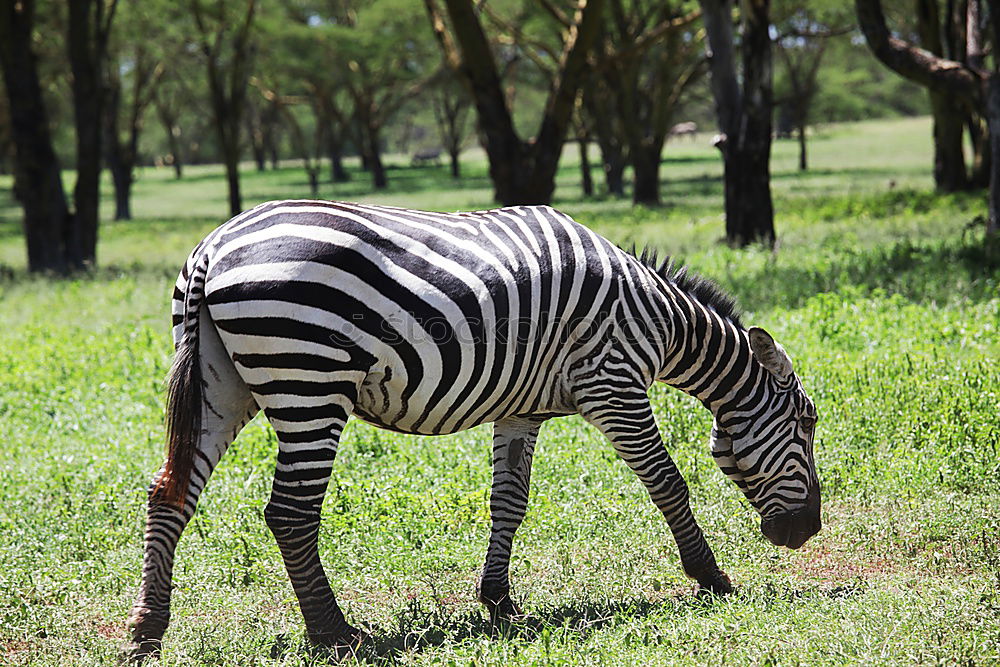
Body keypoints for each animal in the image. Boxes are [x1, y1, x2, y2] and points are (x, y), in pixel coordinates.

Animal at [125, 201, 820, 660]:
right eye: (807, 425)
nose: (807, 531)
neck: (658, 319)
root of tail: (212, 247)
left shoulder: (521, 408)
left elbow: (509, 501)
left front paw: (499, 601)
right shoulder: (612, 383)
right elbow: (667, 481)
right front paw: (712, 577)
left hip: (221, 383)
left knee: (169, 495)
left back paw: (147, 631)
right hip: (309, 381)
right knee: (290, 511)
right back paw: (334, 634)